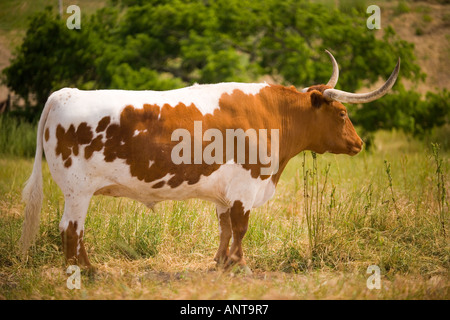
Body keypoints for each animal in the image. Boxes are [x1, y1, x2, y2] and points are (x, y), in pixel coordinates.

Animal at [22, 52, 400, 270]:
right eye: (342, 113)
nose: (358, 143)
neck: (272, 114)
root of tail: (65, 93)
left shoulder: (224, 192)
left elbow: (225, 228)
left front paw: (220, 263)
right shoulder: (246, 186)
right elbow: (241, 227)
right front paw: (240, 266)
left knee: (74, 230)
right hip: (77, 190)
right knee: (71, 229)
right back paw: (84, 272)